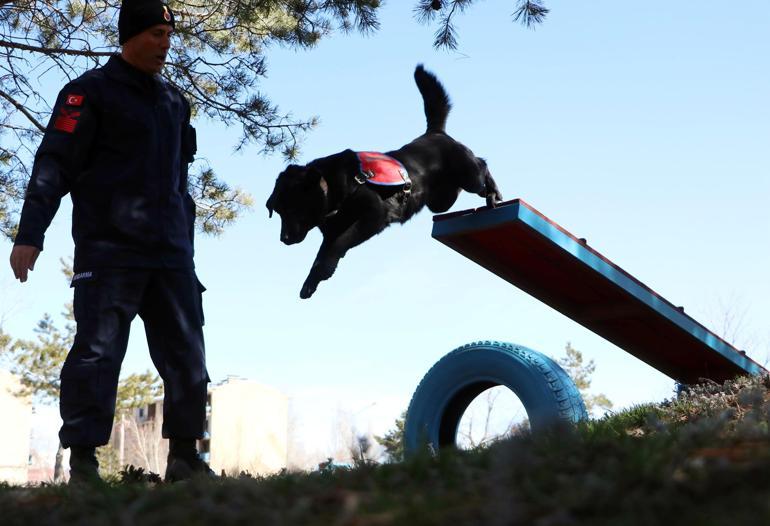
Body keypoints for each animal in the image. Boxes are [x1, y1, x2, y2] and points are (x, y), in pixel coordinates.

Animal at [268, 64, 500, 300]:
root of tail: (435, 132)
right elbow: (322, 255)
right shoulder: (331, 233)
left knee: (482, 166)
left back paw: (493, 192)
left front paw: (322, 271)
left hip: (469, 176)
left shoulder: (374, 214)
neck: (334, 188)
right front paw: (312, 280)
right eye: (278, 212)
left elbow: (341, 242)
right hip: (441, 201)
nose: (284, 239)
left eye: (293, 209)